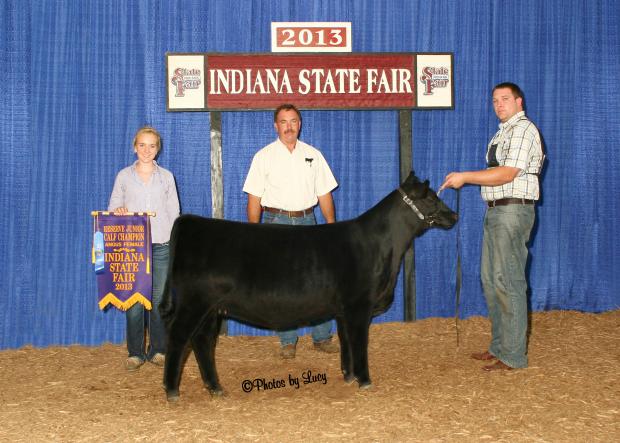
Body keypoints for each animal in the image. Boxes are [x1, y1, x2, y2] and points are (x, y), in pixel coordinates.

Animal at [161, 173, 456, 402]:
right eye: (431, 198)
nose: (454, 214)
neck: (381, 246)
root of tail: (189, 220)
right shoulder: (359, 305)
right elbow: (359, 342)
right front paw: (364, 380)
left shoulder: (343, 309)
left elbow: (346, 342)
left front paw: (348, 376)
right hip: (193, 302)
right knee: (178, 336)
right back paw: (172, 390)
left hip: (211, 308)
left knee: (202, 341)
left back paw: (216, 388)